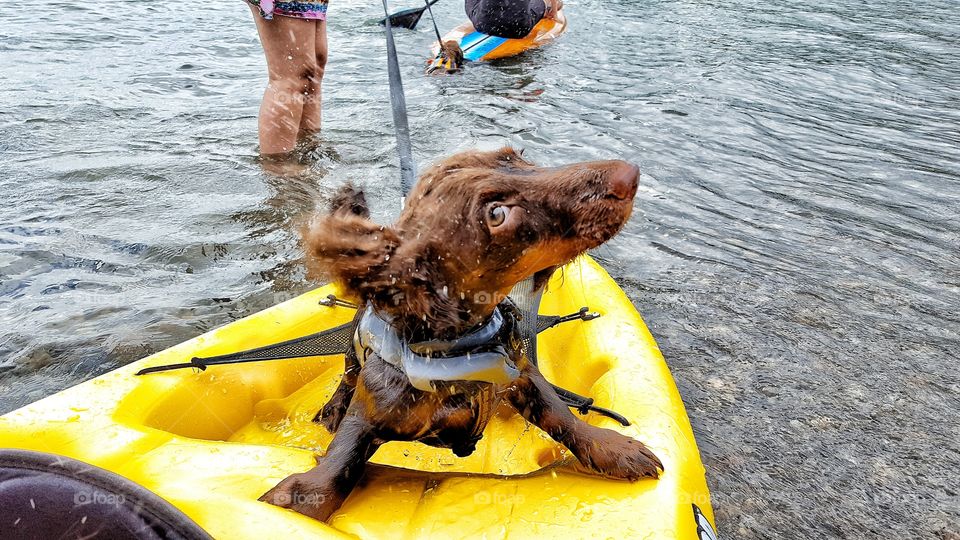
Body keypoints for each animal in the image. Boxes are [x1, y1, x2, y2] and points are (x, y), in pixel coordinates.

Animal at [258, 147, 664, 520]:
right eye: (497, 214)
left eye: (516, 155)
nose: (630, 175)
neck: (459, 352)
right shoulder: (368, 416)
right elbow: (341, 464)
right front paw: (301, 498)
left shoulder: (522, 374)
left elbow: (561, 415)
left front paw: (614, 449)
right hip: (352, 351)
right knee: (347, 376)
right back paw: (332, 408)